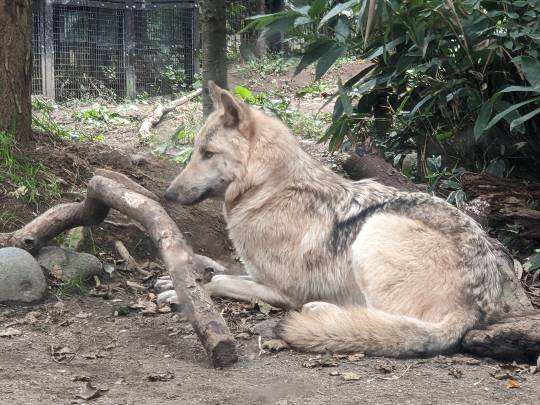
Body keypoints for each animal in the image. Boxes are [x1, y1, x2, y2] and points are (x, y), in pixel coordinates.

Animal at [160, 81, 510, 356]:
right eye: (195, 151)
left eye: (207, 153)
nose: (168, 195)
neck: (266, 189)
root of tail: (474, 308)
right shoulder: (257, 274)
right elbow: (219, 271)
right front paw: (177, 281)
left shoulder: (281, 291)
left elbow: (220, 281)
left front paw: (186, 292)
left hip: (374, 229)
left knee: (387, 321)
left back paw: (321, 310)